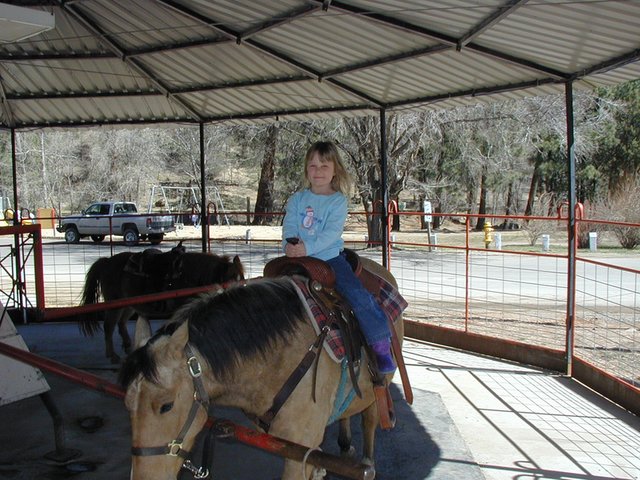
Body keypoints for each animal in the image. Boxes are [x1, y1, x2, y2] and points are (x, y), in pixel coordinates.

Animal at [80, 245, 244, 363]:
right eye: (231, 279)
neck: (188, 277)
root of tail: (106, 261)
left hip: (128, 305)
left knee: (121, 322)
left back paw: (127, 346)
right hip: (114, 305)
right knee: (109, 326)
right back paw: (112, 355)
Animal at [119, 257, 404, 480]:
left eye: (166, 406)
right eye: (127, 404)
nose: (145, 478)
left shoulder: (299, 449)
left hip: (378, 387)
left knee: (370, 417)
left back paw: (366, 459)